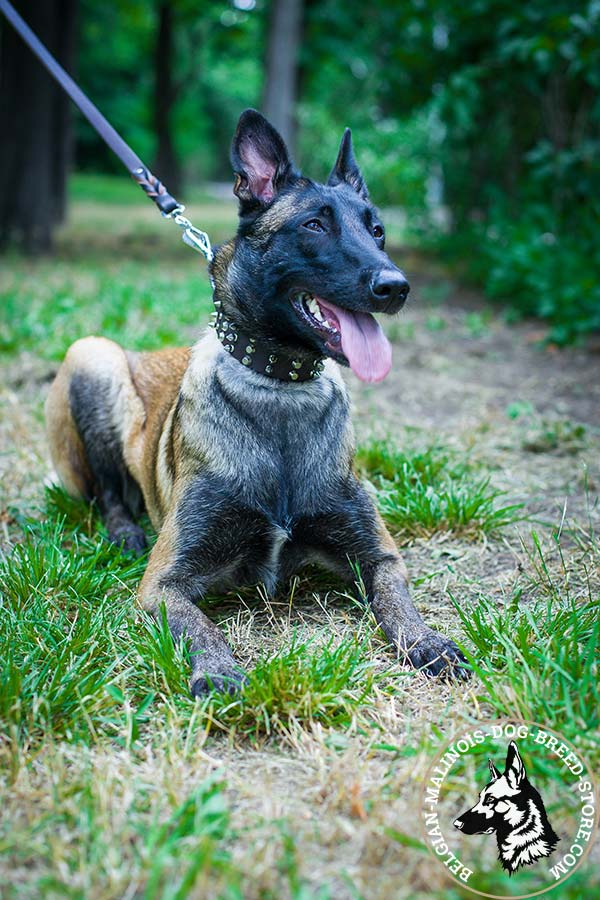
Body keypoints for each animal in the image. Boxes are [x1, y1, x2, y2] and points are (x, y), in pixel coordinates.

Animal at [45, 107, 468, 696]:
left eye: (377, 230)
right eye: (314, 225)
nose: (396, 286)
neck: (280, 387)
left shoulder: (379, 554)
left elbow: (397, 598)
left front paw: (427, 640)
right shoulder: (164, 582)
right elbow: (197, 624)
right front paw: (219, 670)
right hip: (94, 354)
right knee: (108, 493)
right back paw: (125, 533)